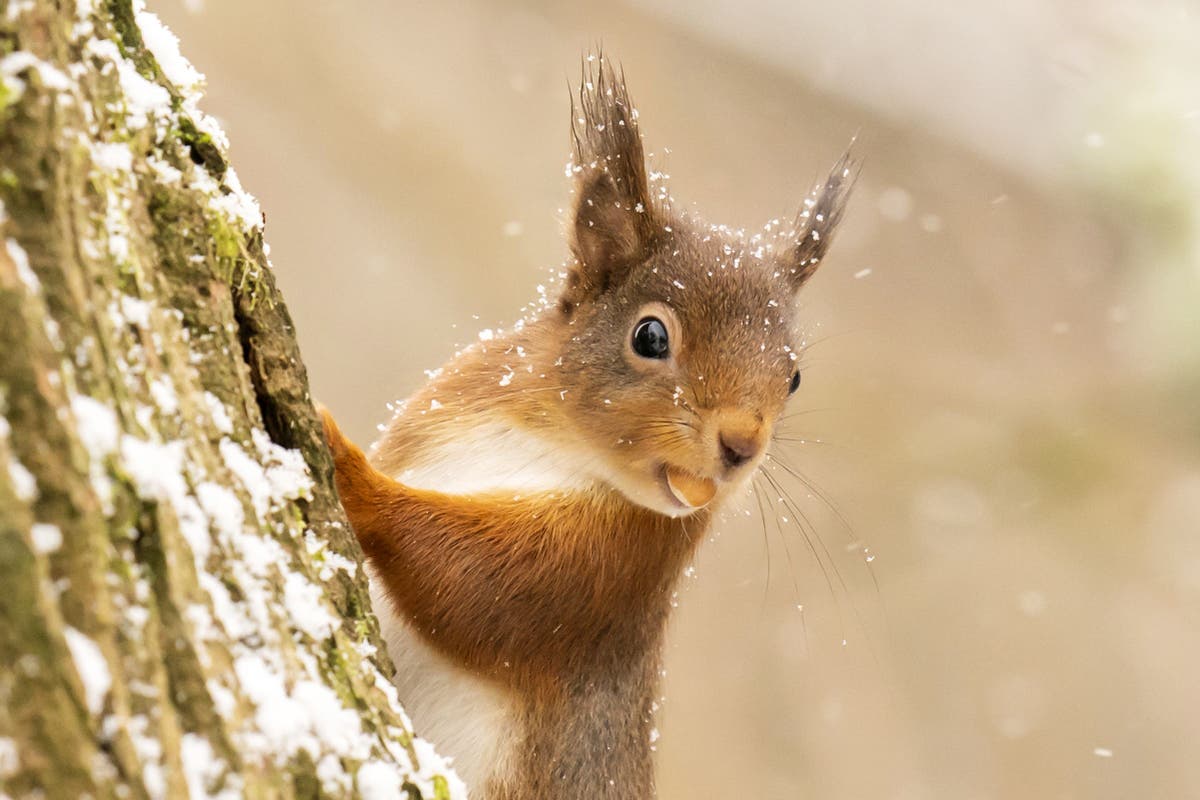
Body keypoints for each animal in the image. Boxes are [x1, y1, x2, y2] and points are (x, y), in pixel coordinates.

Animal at [321, 56, 854, 800]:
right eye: (651, 335)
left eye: (795, 377)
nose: (742, 445)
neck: (553, 440)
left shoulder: (607, 575)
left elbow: (473, 581)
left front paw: (345, 461)